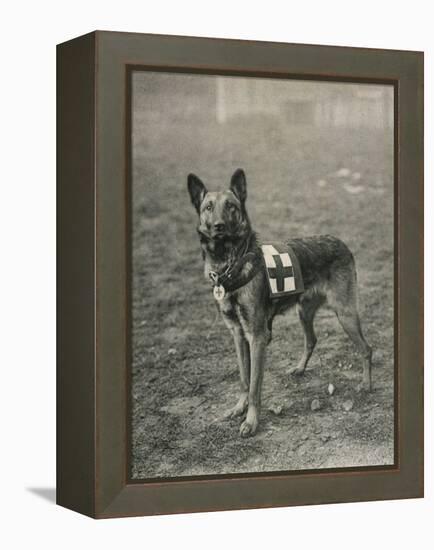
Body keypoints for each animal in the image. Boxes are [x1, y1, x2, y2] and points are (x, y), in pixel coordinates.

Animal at [187, 169, 372, 440]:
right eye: (208, 207)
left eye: (231, 206)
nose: (219, 226)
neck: (230, 264)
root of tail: (340, 242)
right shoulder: (238, 335)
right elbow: (244, 379)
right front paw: (239, 408)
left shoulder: (257, 337)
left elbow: (255, 385)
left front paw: (251, 421)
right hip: (304, 311)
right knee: (311, 340)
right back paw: (300, 369)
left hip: (345, 313)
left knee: (366, 349)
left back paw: (366, 384)